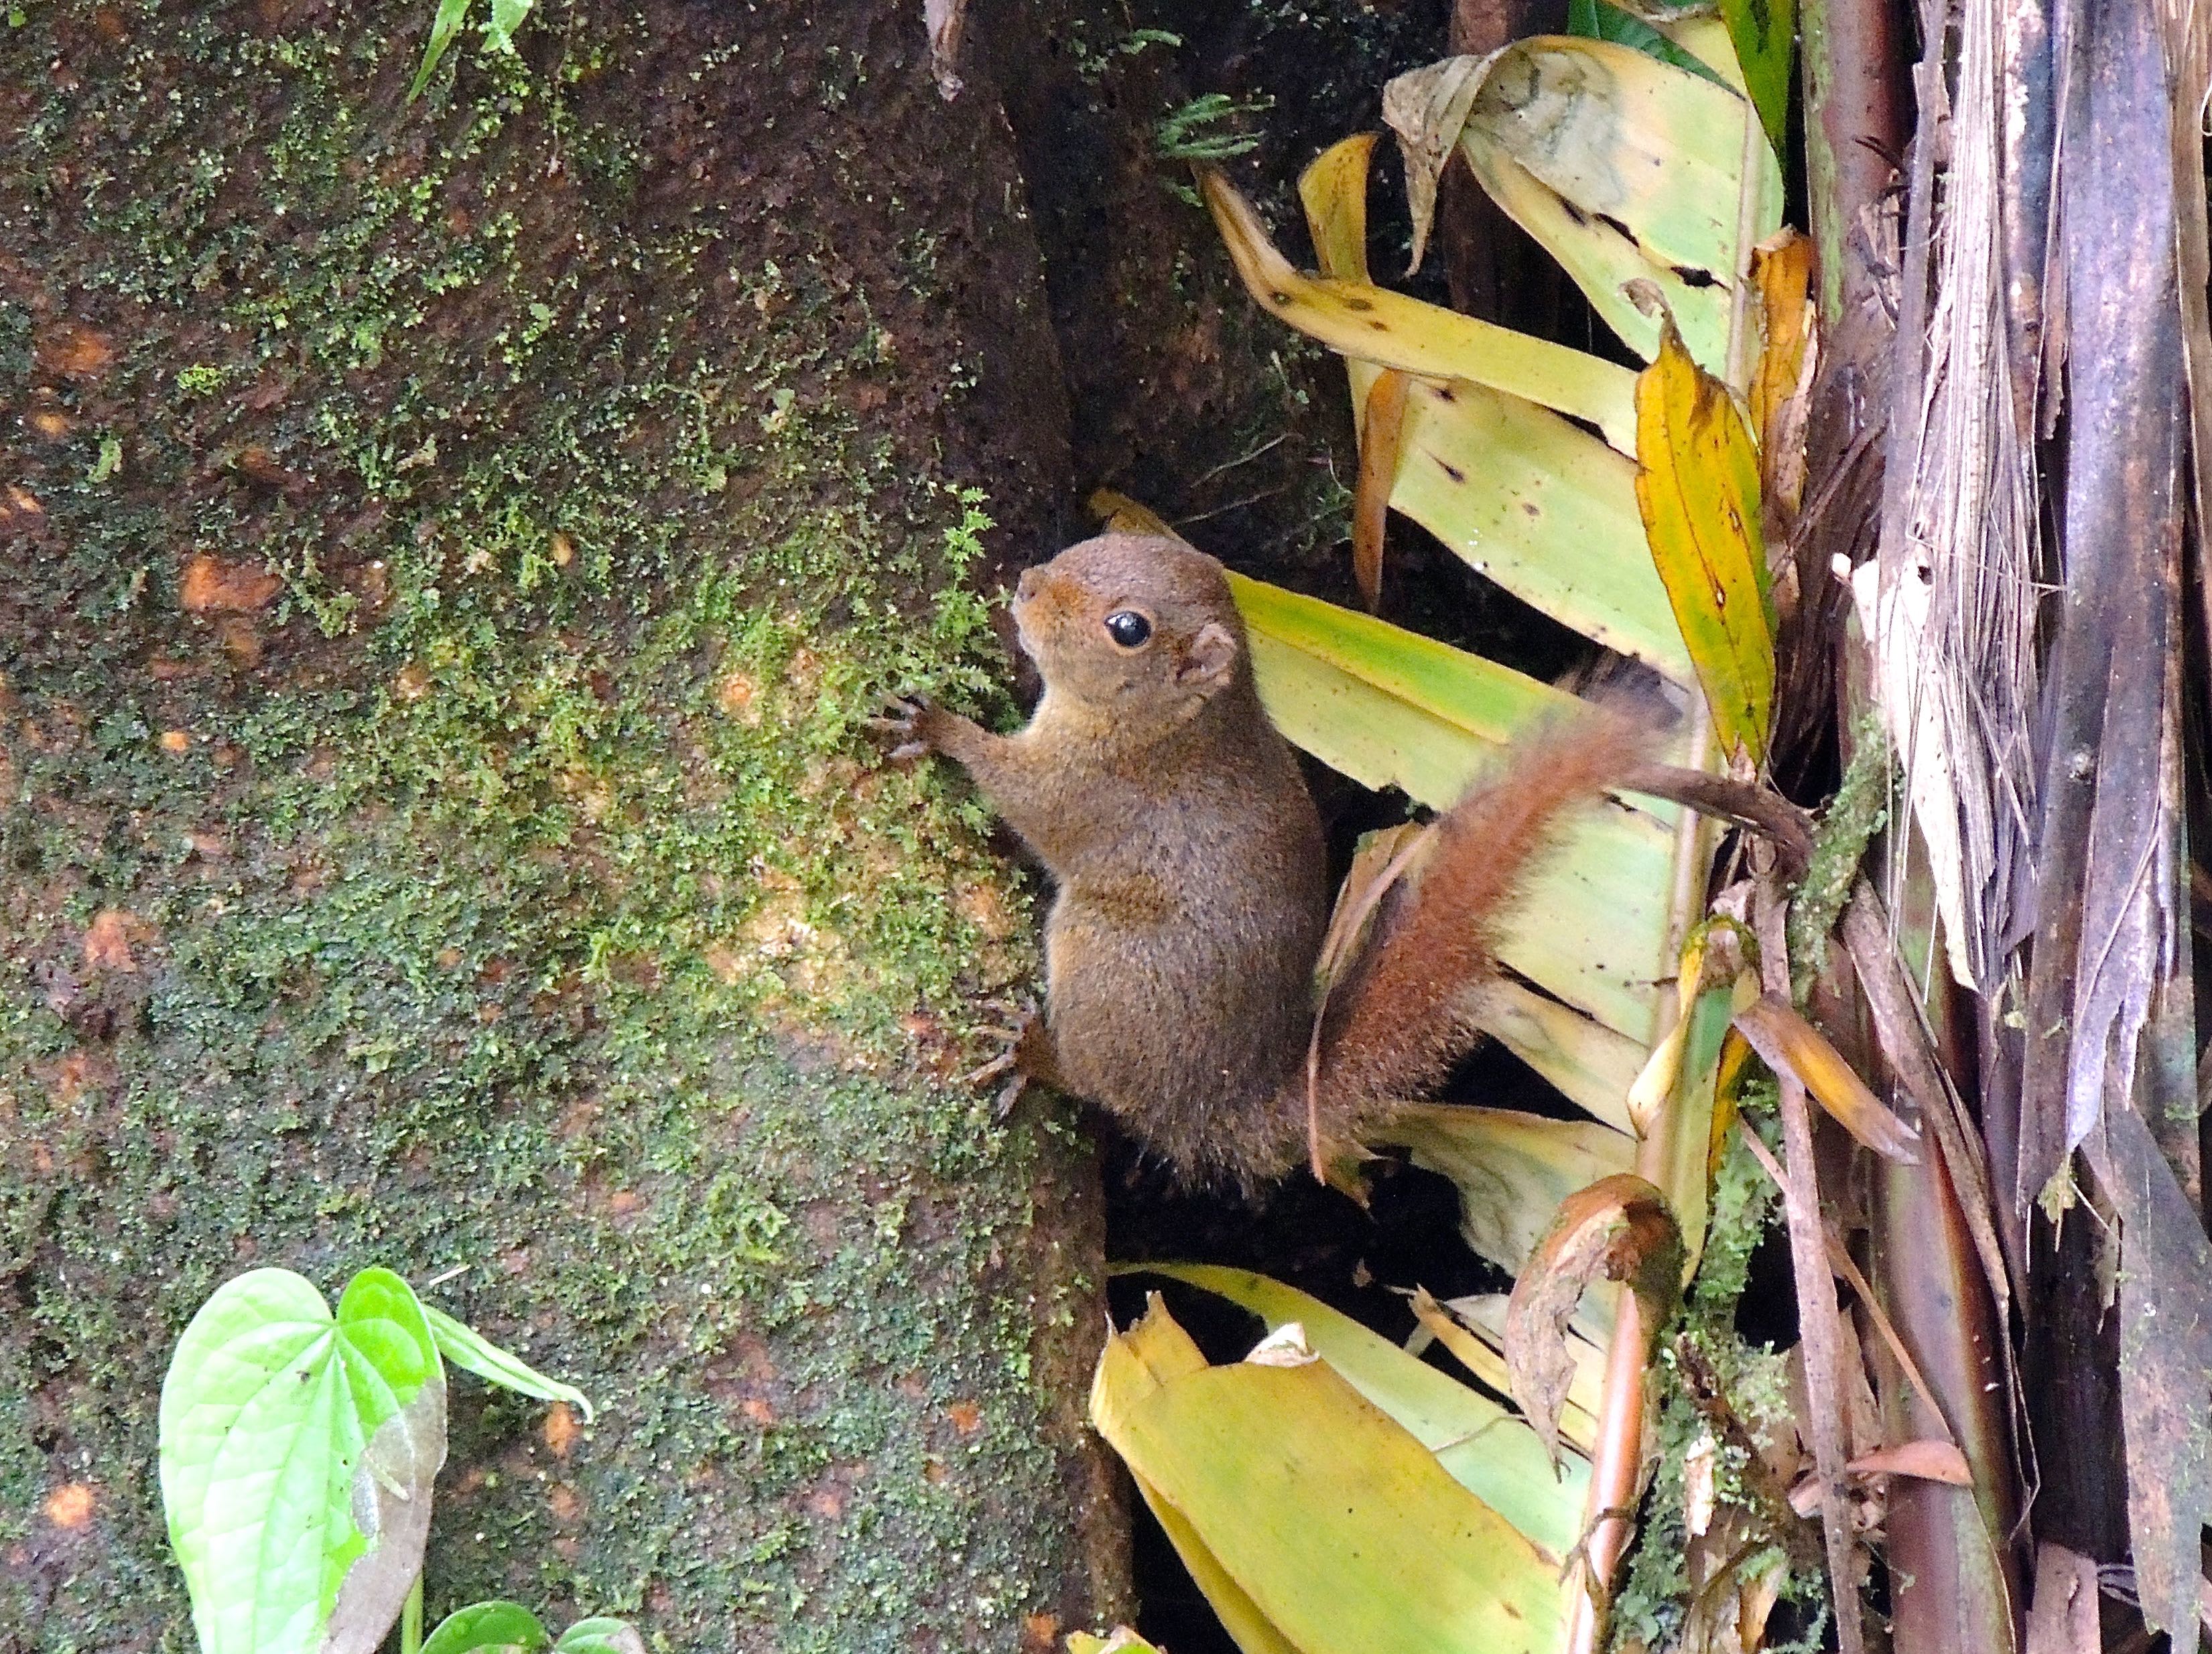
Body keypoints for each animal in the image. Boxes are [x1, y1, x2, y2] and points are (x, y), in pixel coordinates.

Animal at [871, 531, 1654, 1185]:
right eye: (1104, 539)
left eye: (1128, 629)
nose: (1029, 586)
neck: (1171, 722)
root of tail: (1217, 1100)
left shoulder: (1093, 786)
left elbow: (1023, 798)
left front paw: (940, 727)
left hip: (1108, 968)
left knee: (1104, 1086)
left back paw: (1036, 1051)